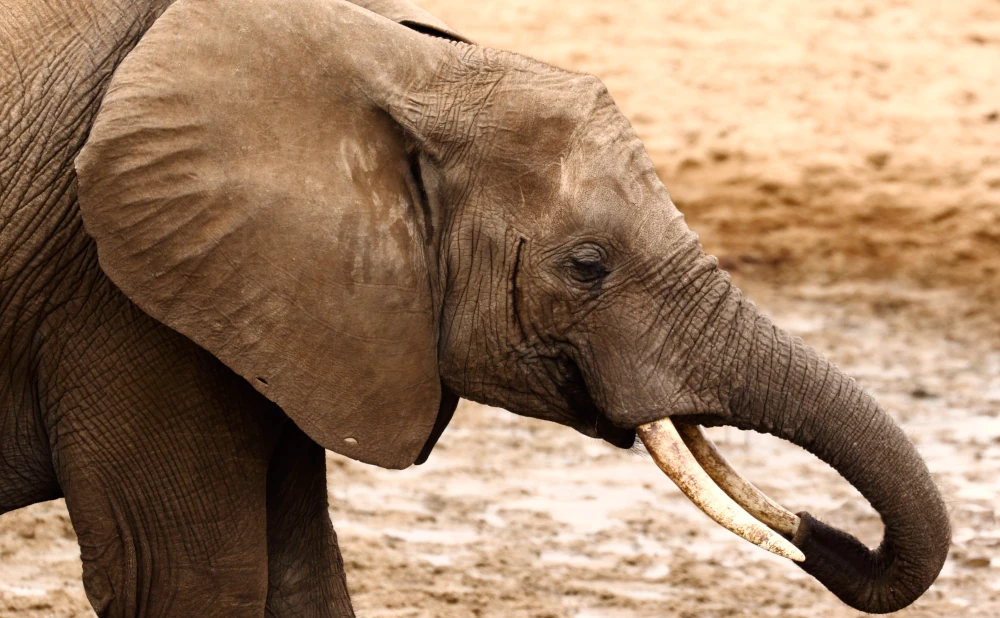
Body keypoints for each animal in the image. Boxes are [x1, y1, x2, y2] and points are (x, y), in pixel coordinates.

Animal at [0, 0, 948, 612]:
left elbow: (299, 572)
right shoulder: (117, 294)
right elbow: (184, 578)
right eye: (588, 266)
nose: (825, 536)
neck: (405, 63)